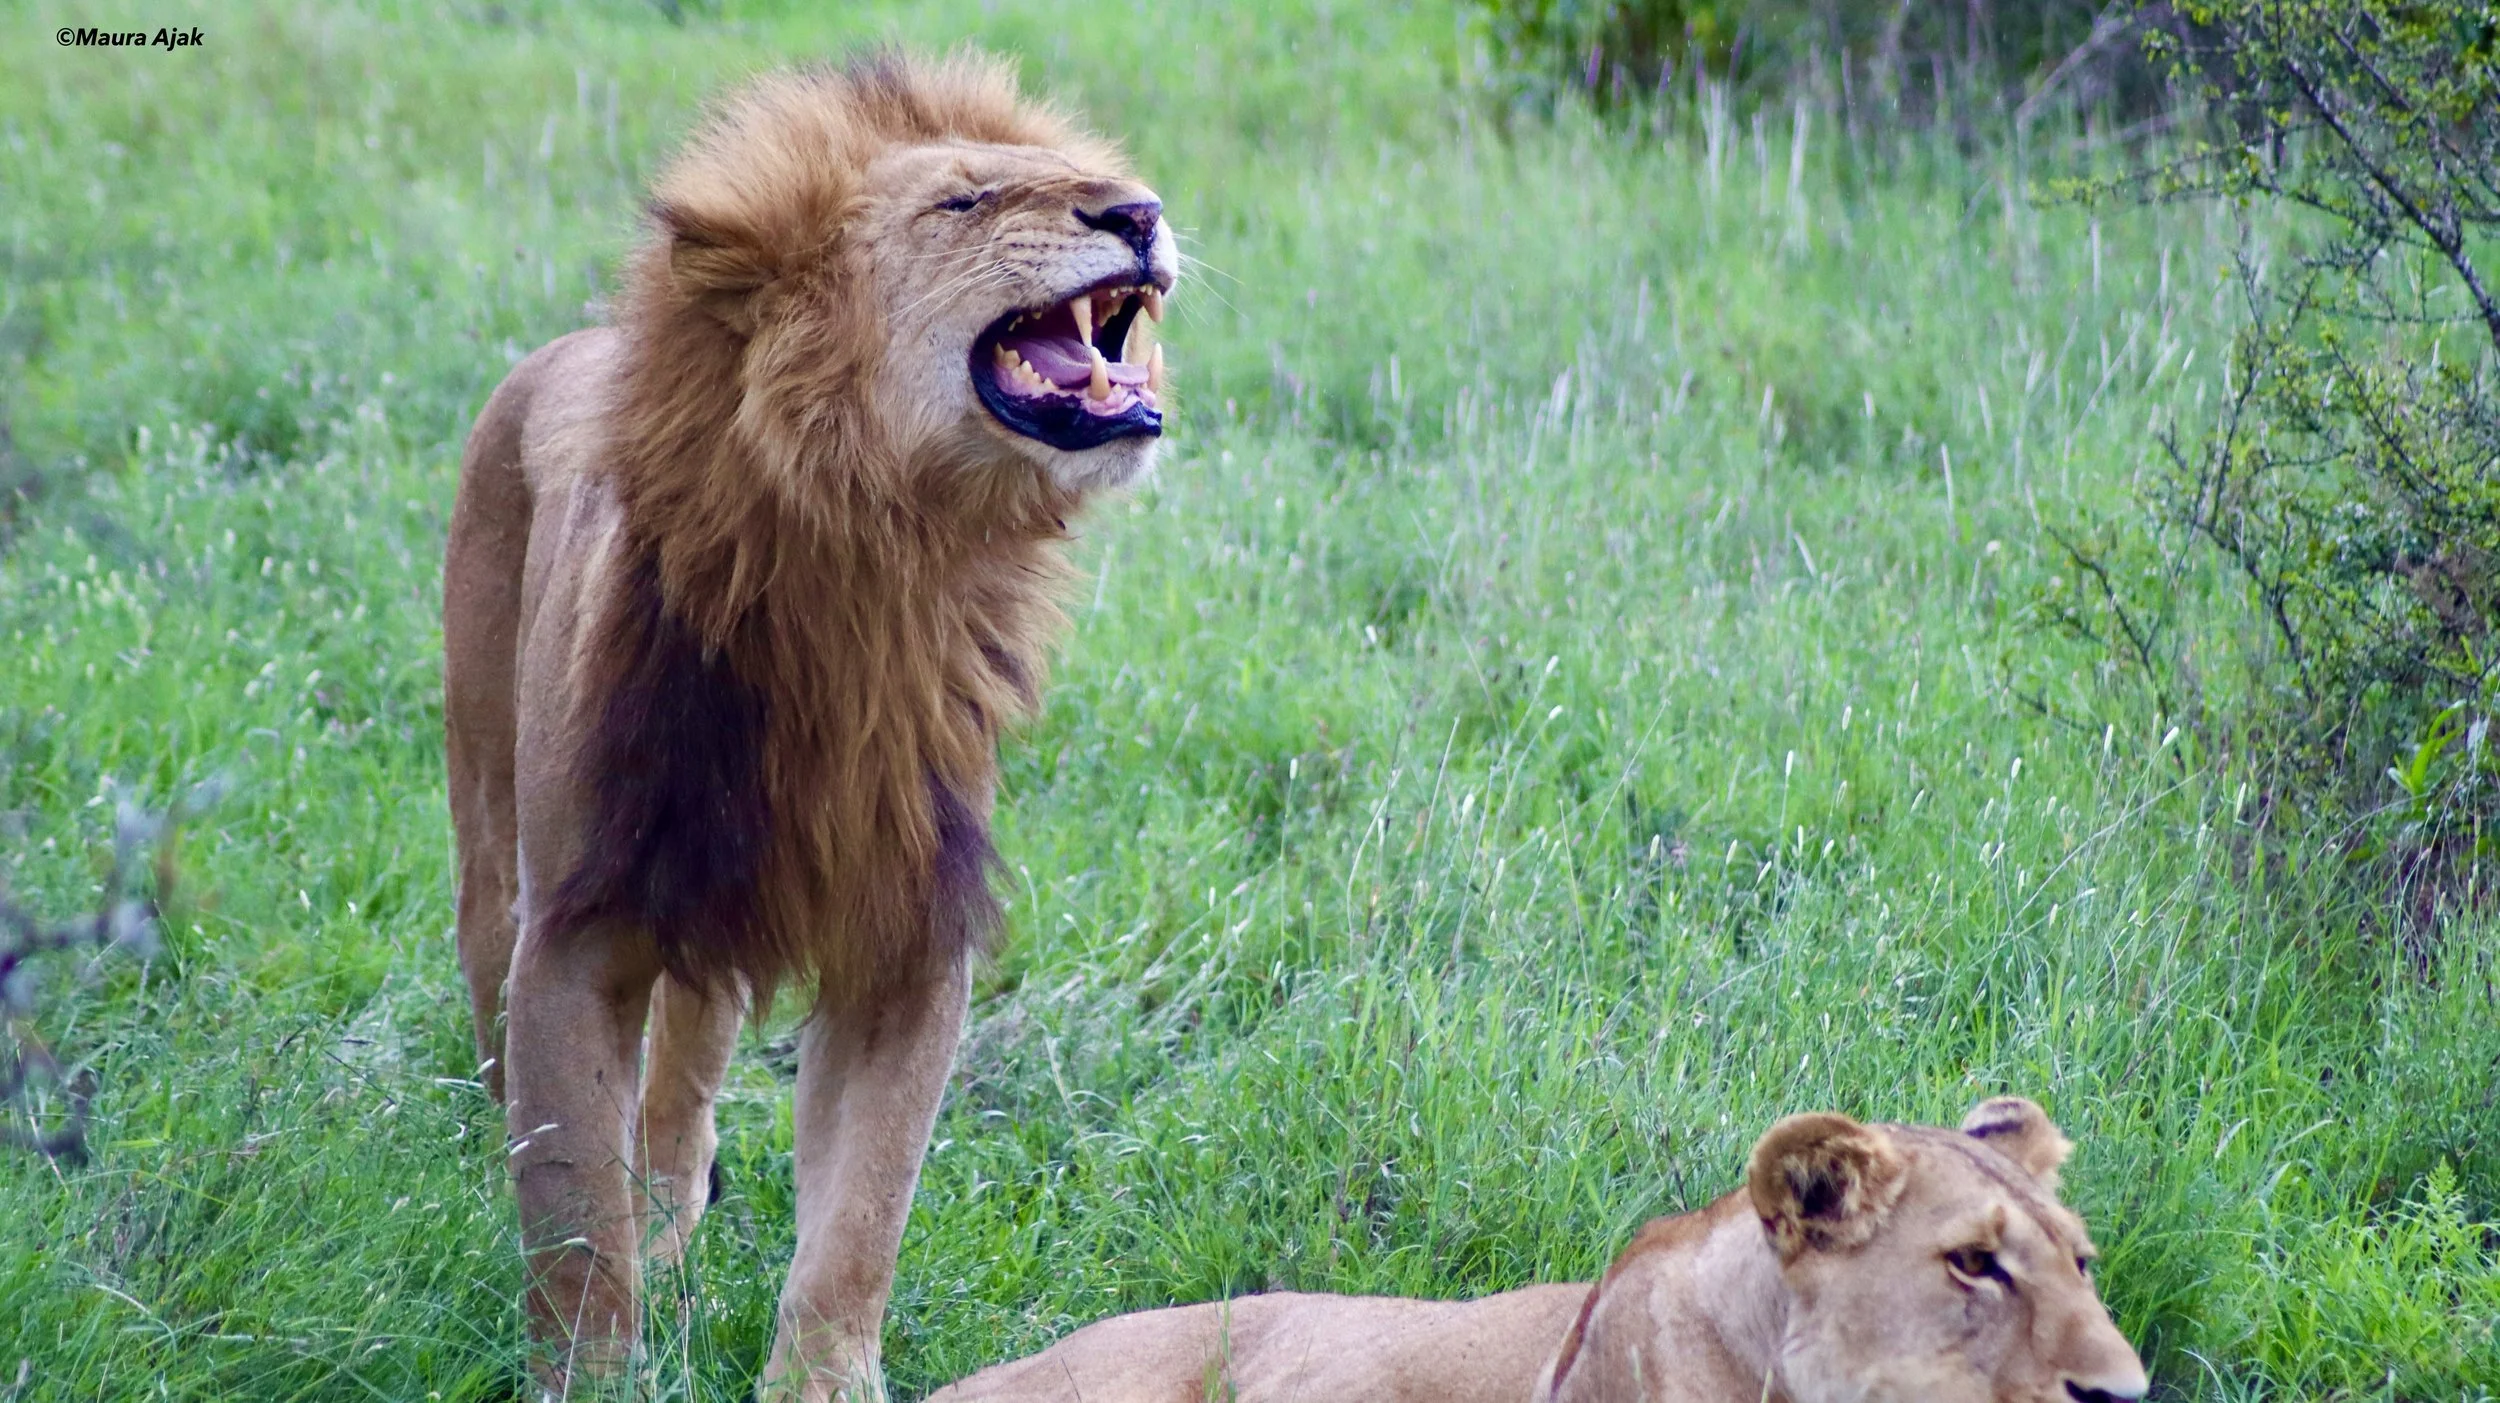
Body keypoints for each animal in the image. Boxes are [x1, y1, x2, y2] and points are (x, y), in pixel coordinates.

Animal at [440, 53, 1175, 1401]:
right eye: (963, 201)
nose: (1140, 212)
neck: (875, 557)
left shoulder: (903, 935)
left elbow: (859, 1218)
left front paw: (819, 1377)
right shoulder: (574, 932)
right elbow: (571, 1223)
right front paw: (593, 1374)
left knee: (679, 1100)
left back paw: (675, 1227)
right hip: (490, 844)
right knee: (502, 1038)